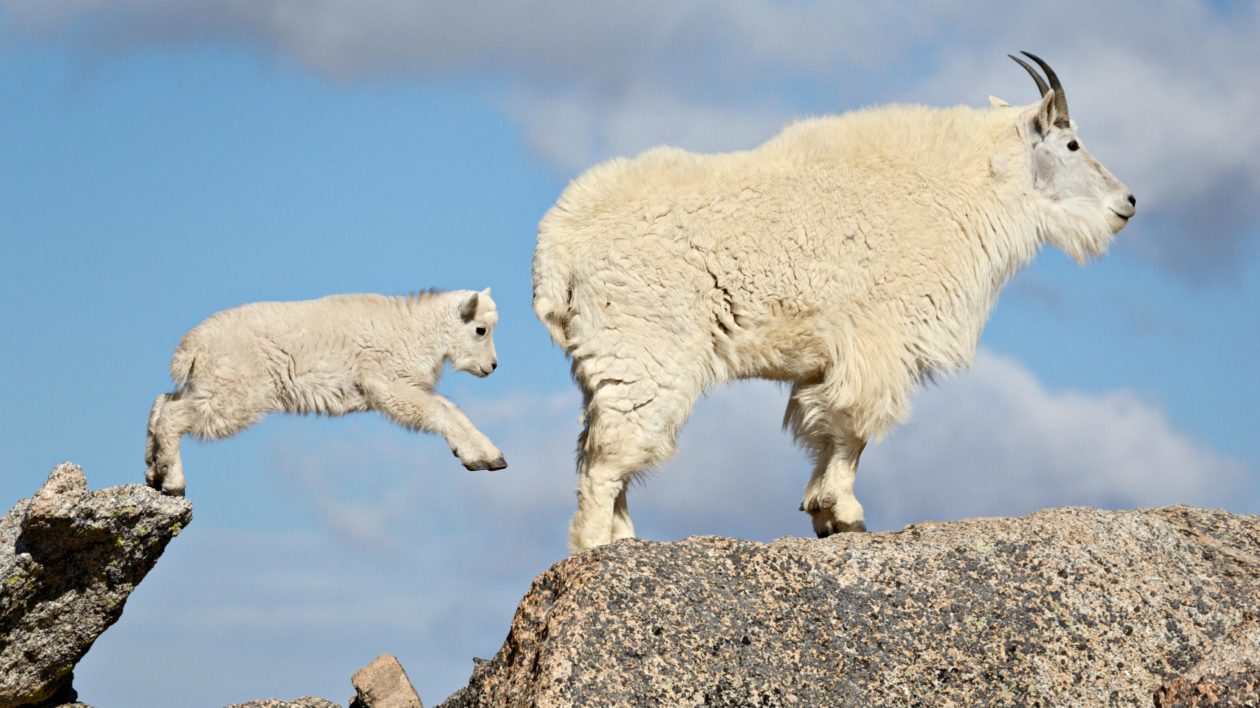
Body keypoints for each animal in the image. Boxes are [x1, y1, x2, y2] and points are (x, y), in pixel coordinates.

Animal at [144, 284, 504, 491]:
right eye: (481, 329)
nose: (491, 367)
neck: (418, 331)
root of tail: (192, 347)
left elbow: (451, 410)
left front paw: (489, 457)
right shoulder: (388, 383)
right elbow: (438, 411)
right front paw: (481, 456)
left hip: (210, 382)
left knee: (163, 401)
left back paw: (153, 471)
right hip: (237, 391)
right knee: (175, 414)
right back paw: (173, 481)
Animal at [536, 53, 1139, 551]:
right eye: (1071, 144)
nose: (1127, 202)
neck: (963, 188)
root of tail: (555, 251)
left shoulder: (830, 356)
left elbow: (824, 423)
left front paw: (821, 512)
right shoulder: (877, 337)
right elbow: (854, 425)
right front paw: (843, 514)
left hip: (606, 360)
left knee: (598, 446)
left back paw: (624, 540)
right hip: (644, 352)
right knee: (607, 459)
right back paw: (597, 547)